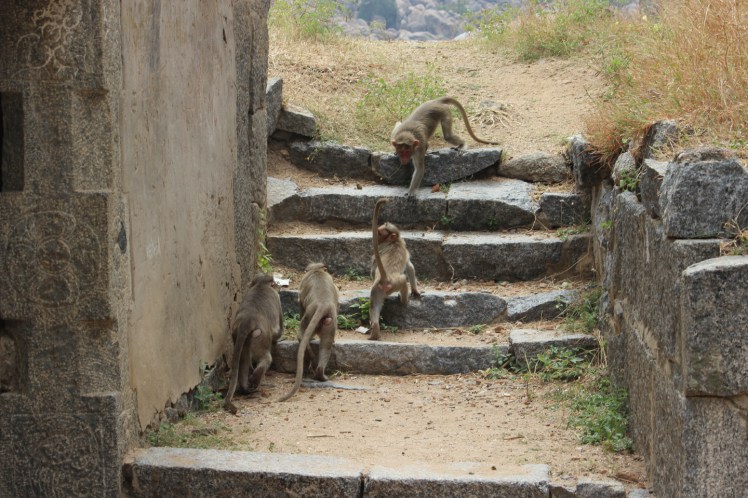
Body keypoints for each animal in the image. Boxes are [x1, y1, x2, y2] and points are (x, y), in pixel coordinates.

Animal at [224, 273, 283, 414]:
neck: (260, 285)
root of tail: (247, 320)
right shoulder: (277, 298)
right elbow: (278, 328)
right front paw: (278, 337)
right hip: (260, 338)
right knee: (266, 359)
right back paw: (254, 380)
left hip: (241, 337)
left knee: (244, 360)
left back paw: (245, 386)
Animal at [278, 263, 339, 402]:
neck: (316, 270)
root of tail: (323, 305)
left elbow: (300, 302)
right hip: (330, 321)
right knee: (326, 345)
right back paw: (320, 373)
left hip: (309, 315)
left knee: (302, 335)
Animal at [369, 198, 420, 341]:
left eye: (380, 232)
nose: (374, 235)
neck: (394, 240)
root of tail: (384, 279)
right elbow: (410, 267)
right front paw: (415, 291)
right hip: (396, 283)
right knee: (403, 279)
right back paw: (404, 301)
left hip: (376, 290)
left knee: (374, 306)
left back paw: (375, 332)